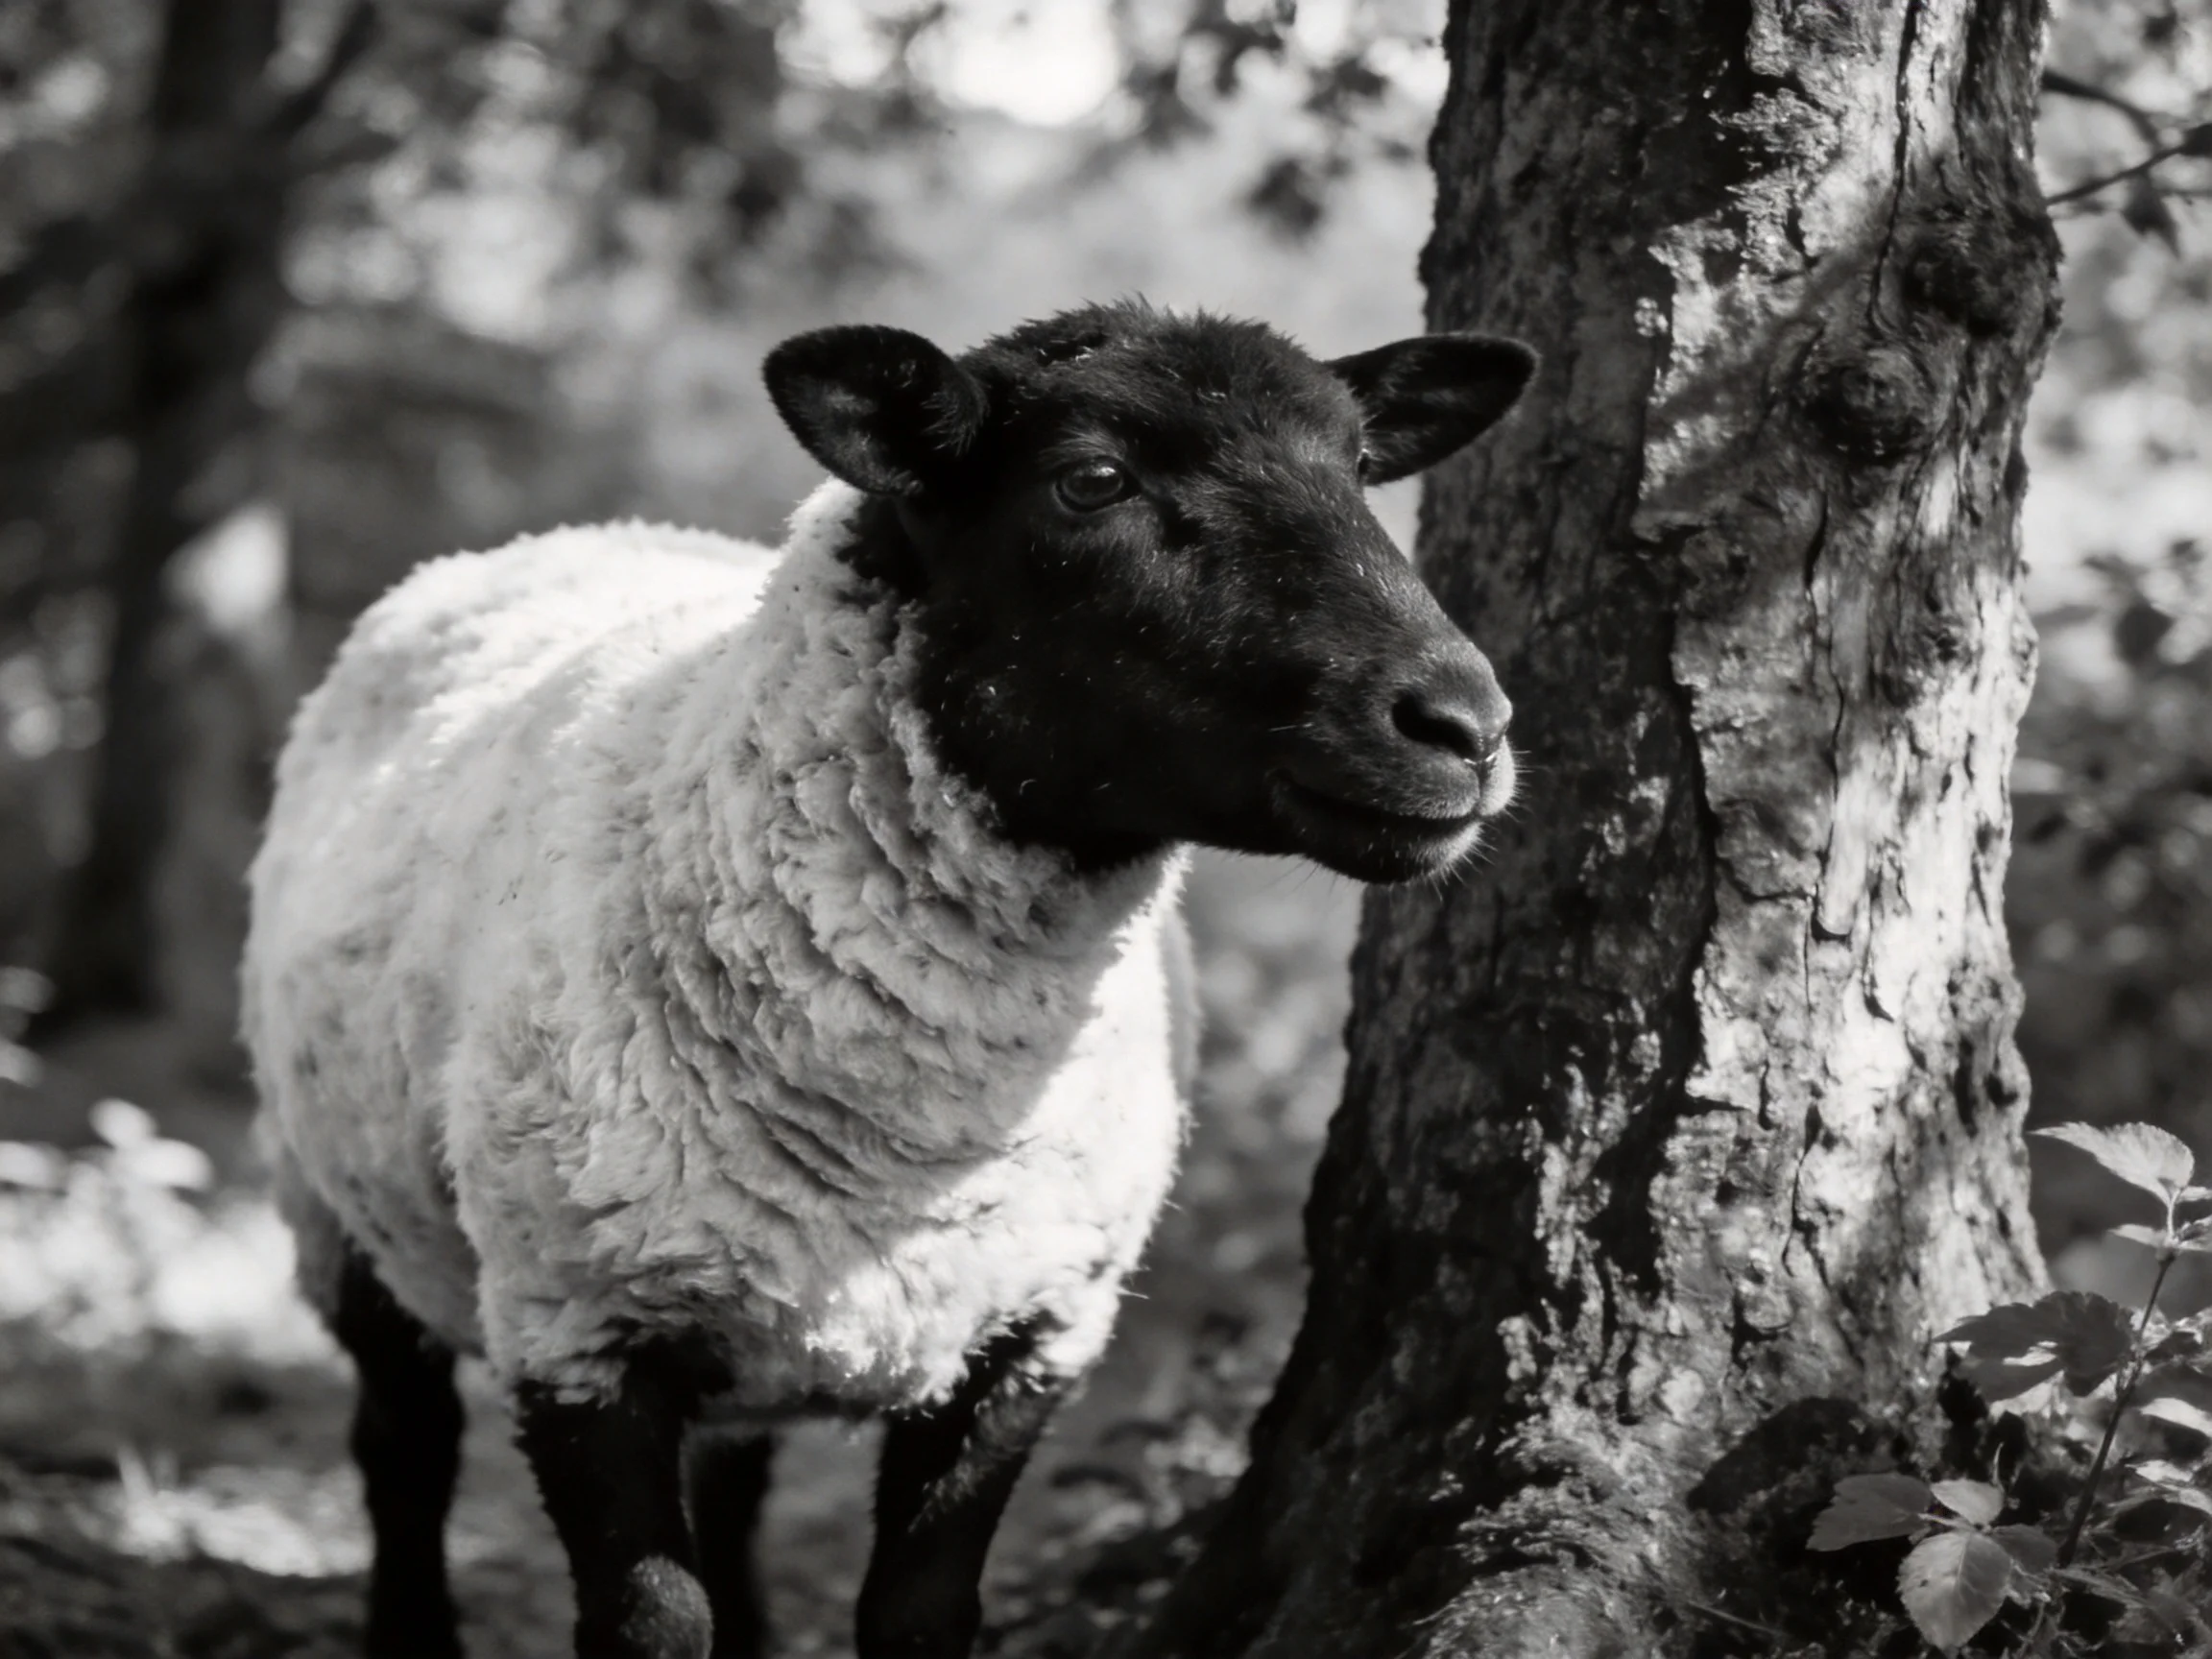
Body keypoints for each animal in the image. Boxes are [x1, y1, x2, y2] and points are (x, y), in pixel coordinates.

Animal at [242, 299, 1532, 1659]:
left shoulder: (1028, 1335)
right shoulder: (576, 1326)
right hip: (336, 1206)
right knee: (402, 1449)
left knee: (730, 1480)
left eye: (1361, 467)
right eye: (1093, 481)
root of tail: (544, 540)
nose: (1465, 726)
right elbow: (651, 1622)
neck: (909, 1132)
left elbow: (919, 1613)